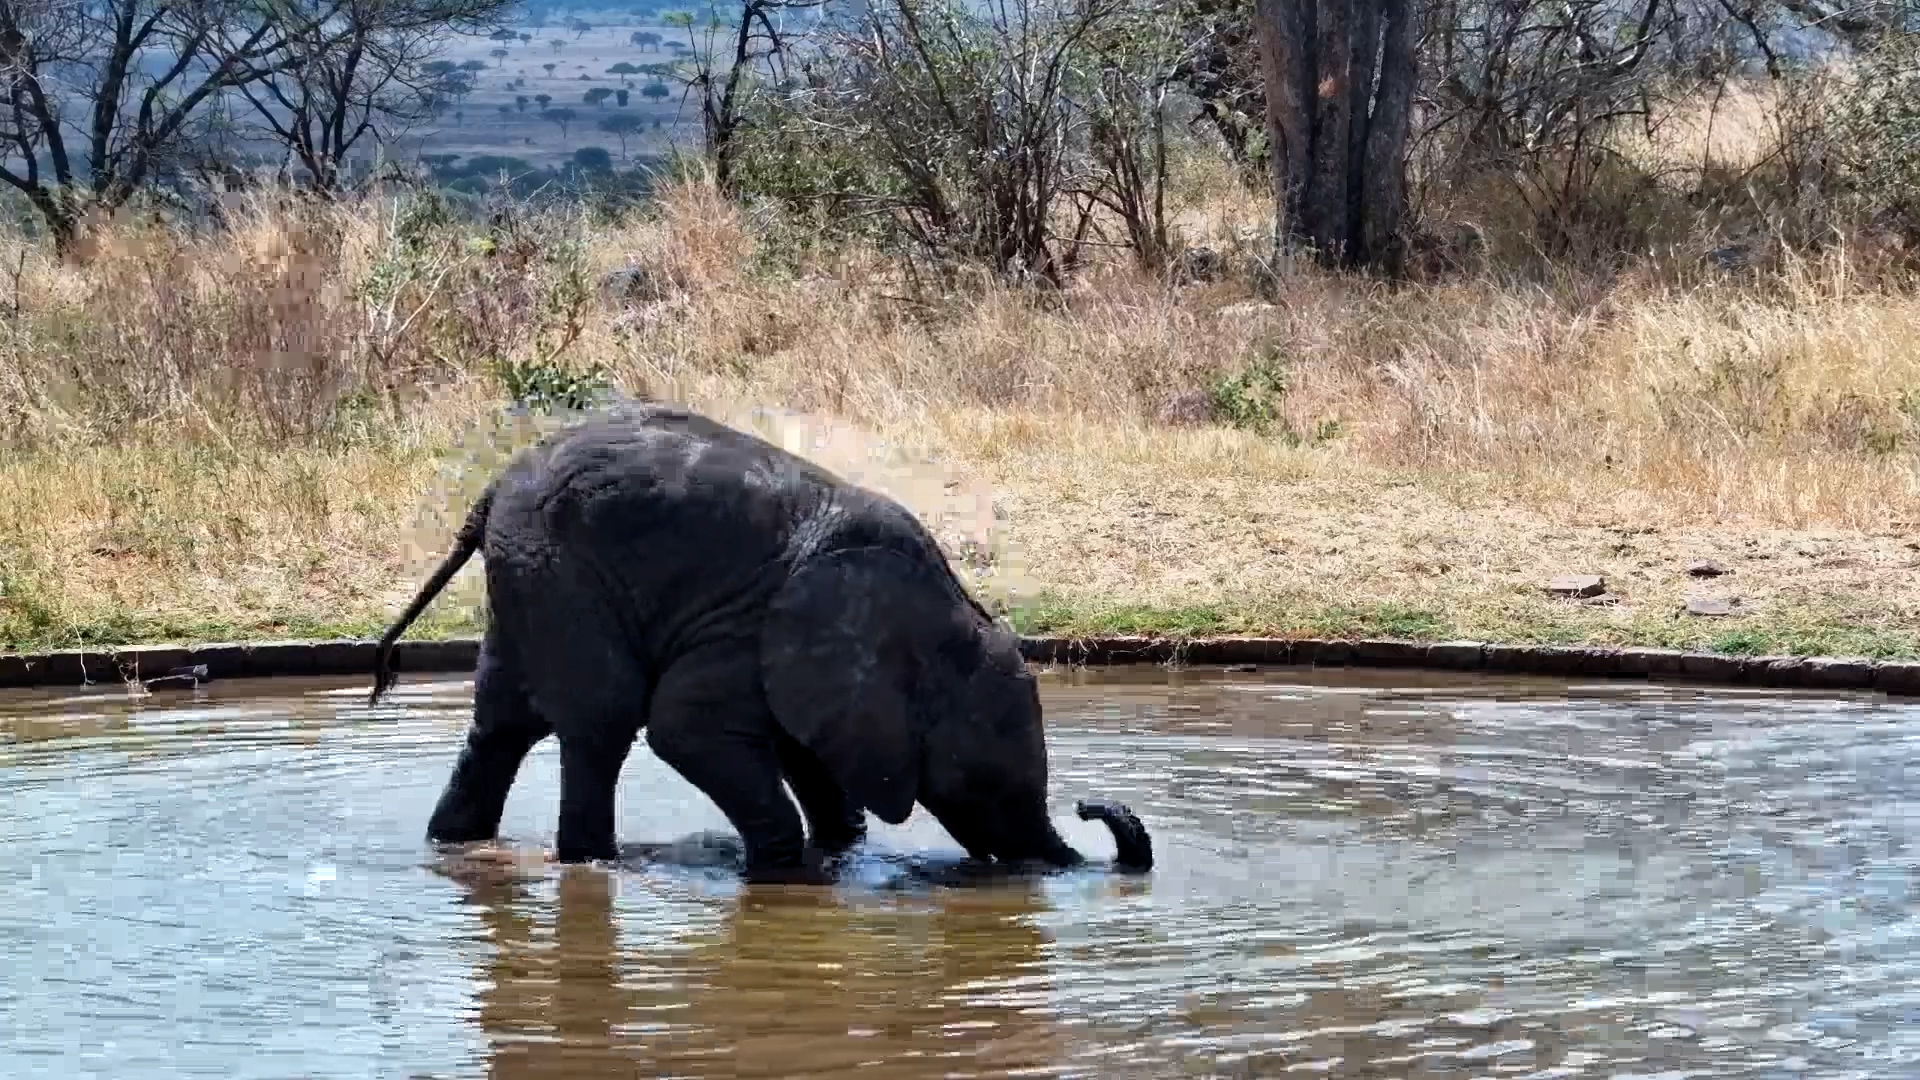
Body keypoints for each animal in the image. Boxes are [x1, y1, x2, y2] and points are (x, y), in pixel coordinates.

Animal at [369, 403, 1154, 884]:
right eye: (985, 782)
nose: (1089, 808)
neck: (942, 613)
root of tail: (492, 489)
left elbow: (809, 758)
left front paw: (839, 853)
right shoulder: (748, 632)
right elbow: (684, 731)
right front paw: (787, 872)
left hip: (528, 579)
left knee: (502, 724)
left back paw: (454, 845)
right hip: (561, 575)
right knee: (601, 722)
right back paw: (593, 862)